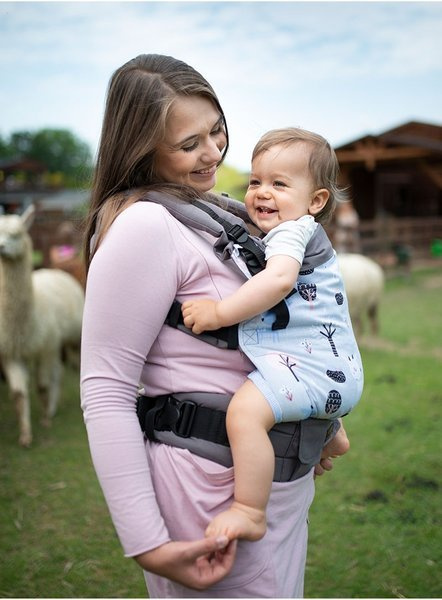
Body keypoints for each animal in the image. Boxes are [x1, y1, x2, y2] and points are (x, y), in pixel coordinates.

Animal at [0, 205, 84, 446]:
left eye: (16, 234)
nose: (1, 248)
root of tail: (52, 270)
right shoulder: (10, 353)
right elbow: (19, 394)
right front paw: (25, 434)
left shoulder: (45, 347)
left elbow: (42, 385)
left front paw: (46, 419)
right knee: (58, 371)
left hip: (71, 337)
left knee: (65, 369)